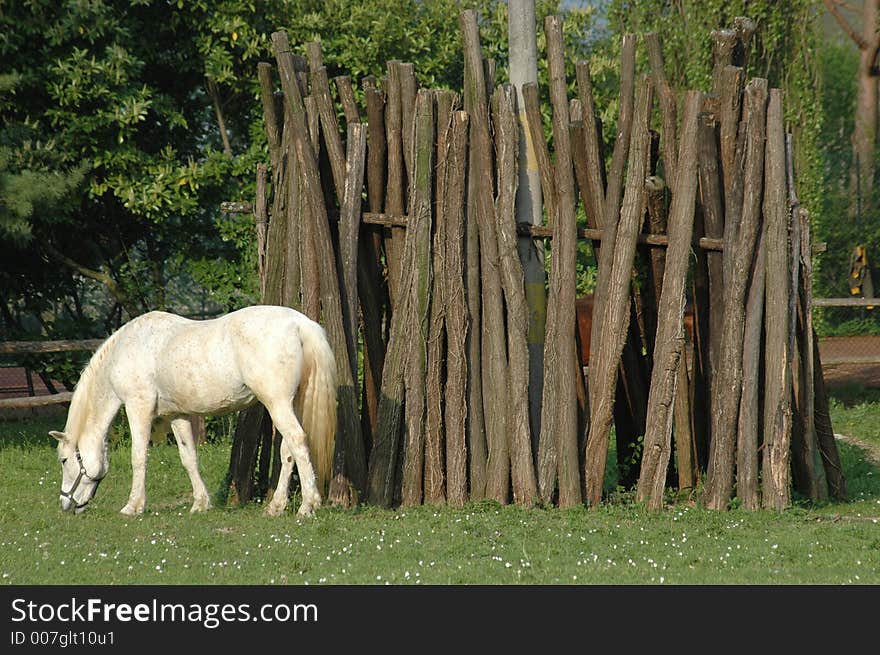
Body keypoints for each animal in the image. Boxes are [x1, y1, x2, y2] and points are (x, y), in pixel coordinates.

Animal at [50, 306, 336, 516]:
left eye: (64, 460)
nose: (65, 505)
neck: (127, 348)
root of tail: (299, 323)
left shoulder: (138, 407)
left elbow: (138, 457)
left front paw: (133, 506)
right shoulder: (177, 415)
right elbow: (189, 458)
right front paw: (200, 503)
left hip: (277, 403)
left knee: (297, 441)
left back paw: (308, 505)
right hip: (290, 403)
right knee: (289, 449)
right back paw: (276, 507)